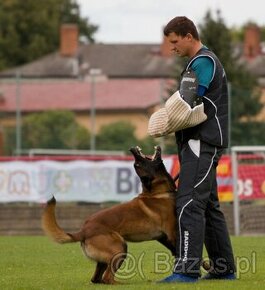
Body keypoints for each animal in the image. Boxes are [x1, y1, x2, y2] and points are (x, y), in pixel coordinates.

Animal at [41, 145, 177, 284]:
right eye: (137, 164)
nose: (132, 150)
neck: (158, 193)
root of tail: (84, 230)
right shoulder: (172, 233)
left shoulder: (163, 237)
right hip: (120, 247)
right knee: (107, 278)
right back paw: (122, 283)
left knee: (96, 279)